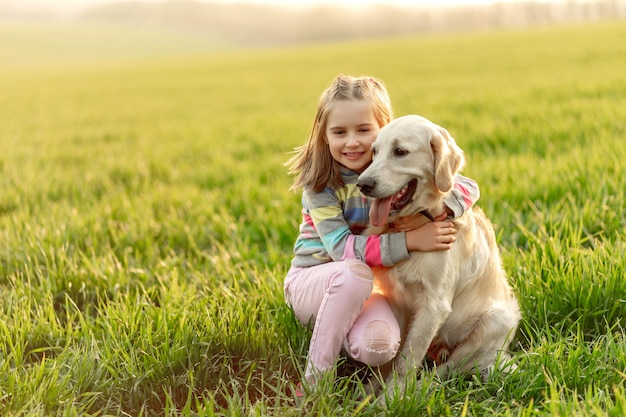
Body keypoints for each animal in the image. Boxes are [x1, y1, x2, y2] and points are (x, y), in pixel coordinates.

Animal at [354, 114, 520, 394]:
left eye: (400, 151)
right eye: (374, 152)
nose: (362, 184)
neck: (411, 225)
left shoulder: (434, 304)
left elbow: (406, 361)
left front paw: (390, 397)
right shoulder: (395, 299)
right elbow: (391, 358)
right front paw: (369, 391)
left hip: (495, 322)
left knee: (449, 370)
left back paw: (424, 386)